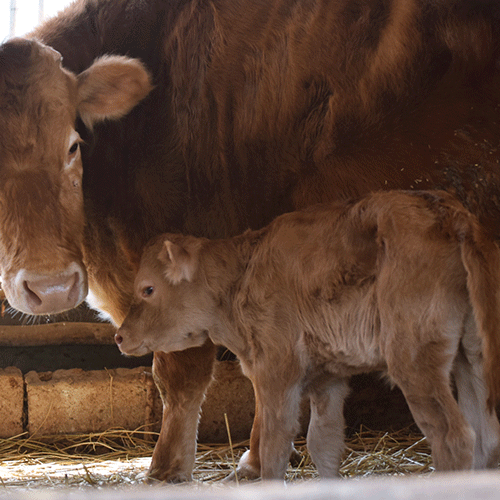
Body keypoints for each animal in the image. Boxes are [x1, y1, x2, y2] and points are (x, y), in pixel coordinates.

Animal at [115, 189, 500, 478]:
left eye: (147, 289)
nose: (119, 336)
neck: (242, 276)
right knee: (485, 435)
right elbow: (323, 443)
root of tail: (448, 210)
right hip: (473, 354)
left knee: (453, 435)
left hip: (415, 358)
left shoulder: (277, 370)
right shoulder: (327, 377)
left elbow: (274, 444)